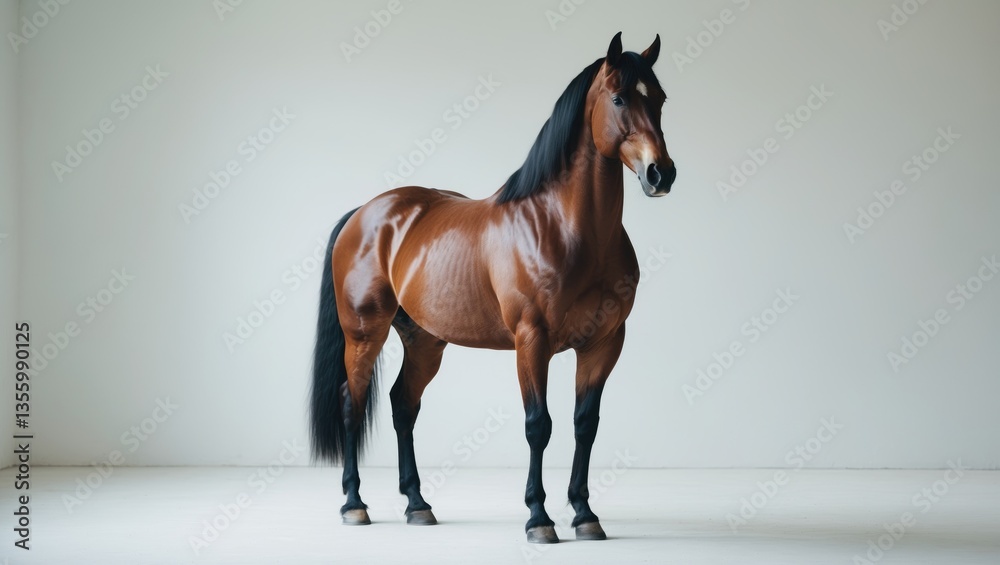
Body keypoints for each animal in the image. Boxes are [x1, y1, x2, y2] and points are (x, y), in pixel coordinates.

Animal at [310, 32, 676, 544]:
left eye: (659, 99)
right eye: (620, 98)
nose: (661, 174)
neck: (565, 227)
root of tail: (365, 213)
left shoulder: (604, 343)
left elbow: (585, 425)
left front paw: (585, 514)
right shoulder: (532, 341)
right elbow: (538, 425)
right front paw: (539, 518)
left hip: (424, 341)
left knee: (403, 405)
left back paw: (418, 505)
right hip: (364, 334)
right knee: (351, 403)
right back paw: (354, 504)